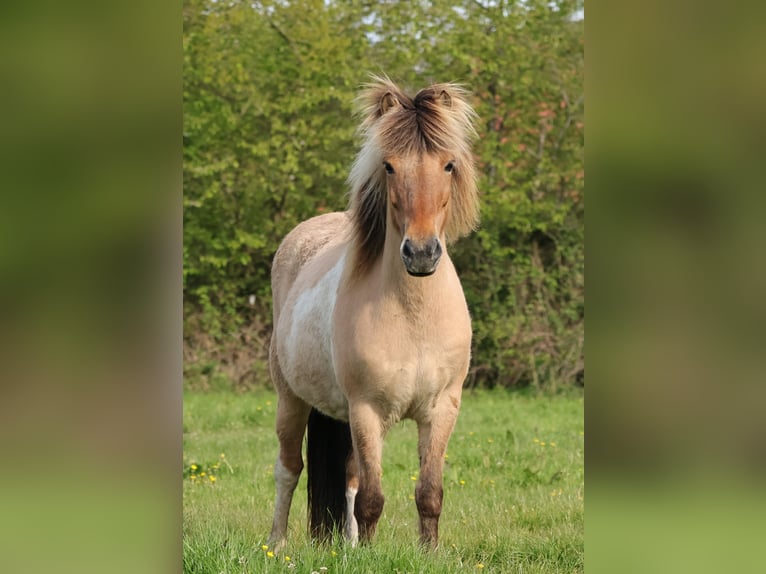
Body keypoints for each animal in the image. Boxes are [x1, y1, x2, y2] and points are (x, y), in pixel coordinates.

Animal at [268, 74, 476, 552]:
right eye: (389, 167)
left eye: (448, 165)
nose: (421, 254)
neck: (415, 317)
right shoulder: (366, 409)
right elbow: (373, 498)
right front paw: (369, 553)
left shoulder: (442, 409)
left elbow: (427, 492)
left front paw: (427, 553)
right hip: (292, 401)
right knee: (289, 470)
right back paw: (277, 545)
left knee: (346, 477)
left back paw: (344, 546)